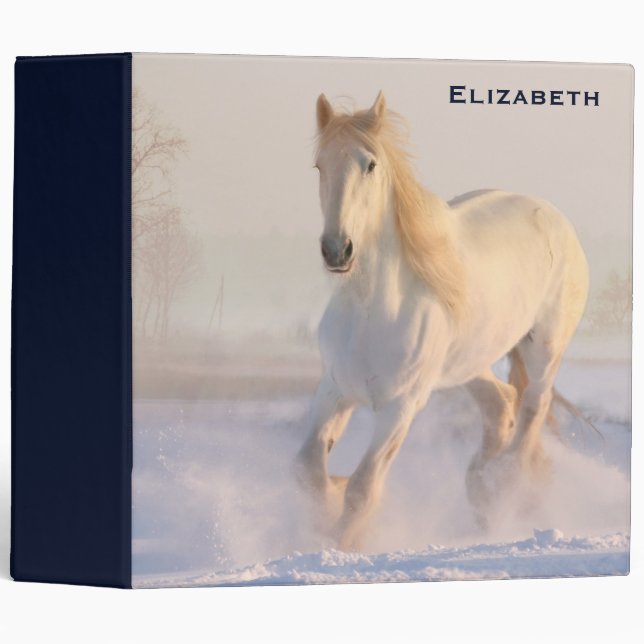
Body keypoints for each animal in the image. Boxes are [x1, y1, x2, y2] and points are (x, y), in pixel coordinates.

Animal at [296, 91, 589, 550]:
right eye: (319, 165)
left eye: (370, 164)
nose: (337, 250)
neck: (371, 311)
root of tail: (552, 214)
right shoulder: (335, 389)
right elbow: (308, 468)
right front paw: (326, 512)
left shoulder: (400, 406)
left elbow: (363, 487)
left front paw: (342, 544)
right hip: (467, 363)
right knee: (501, 402)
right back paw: (482, 490)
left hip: (544, 348)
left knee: (532, 409)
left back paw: (504, 489)